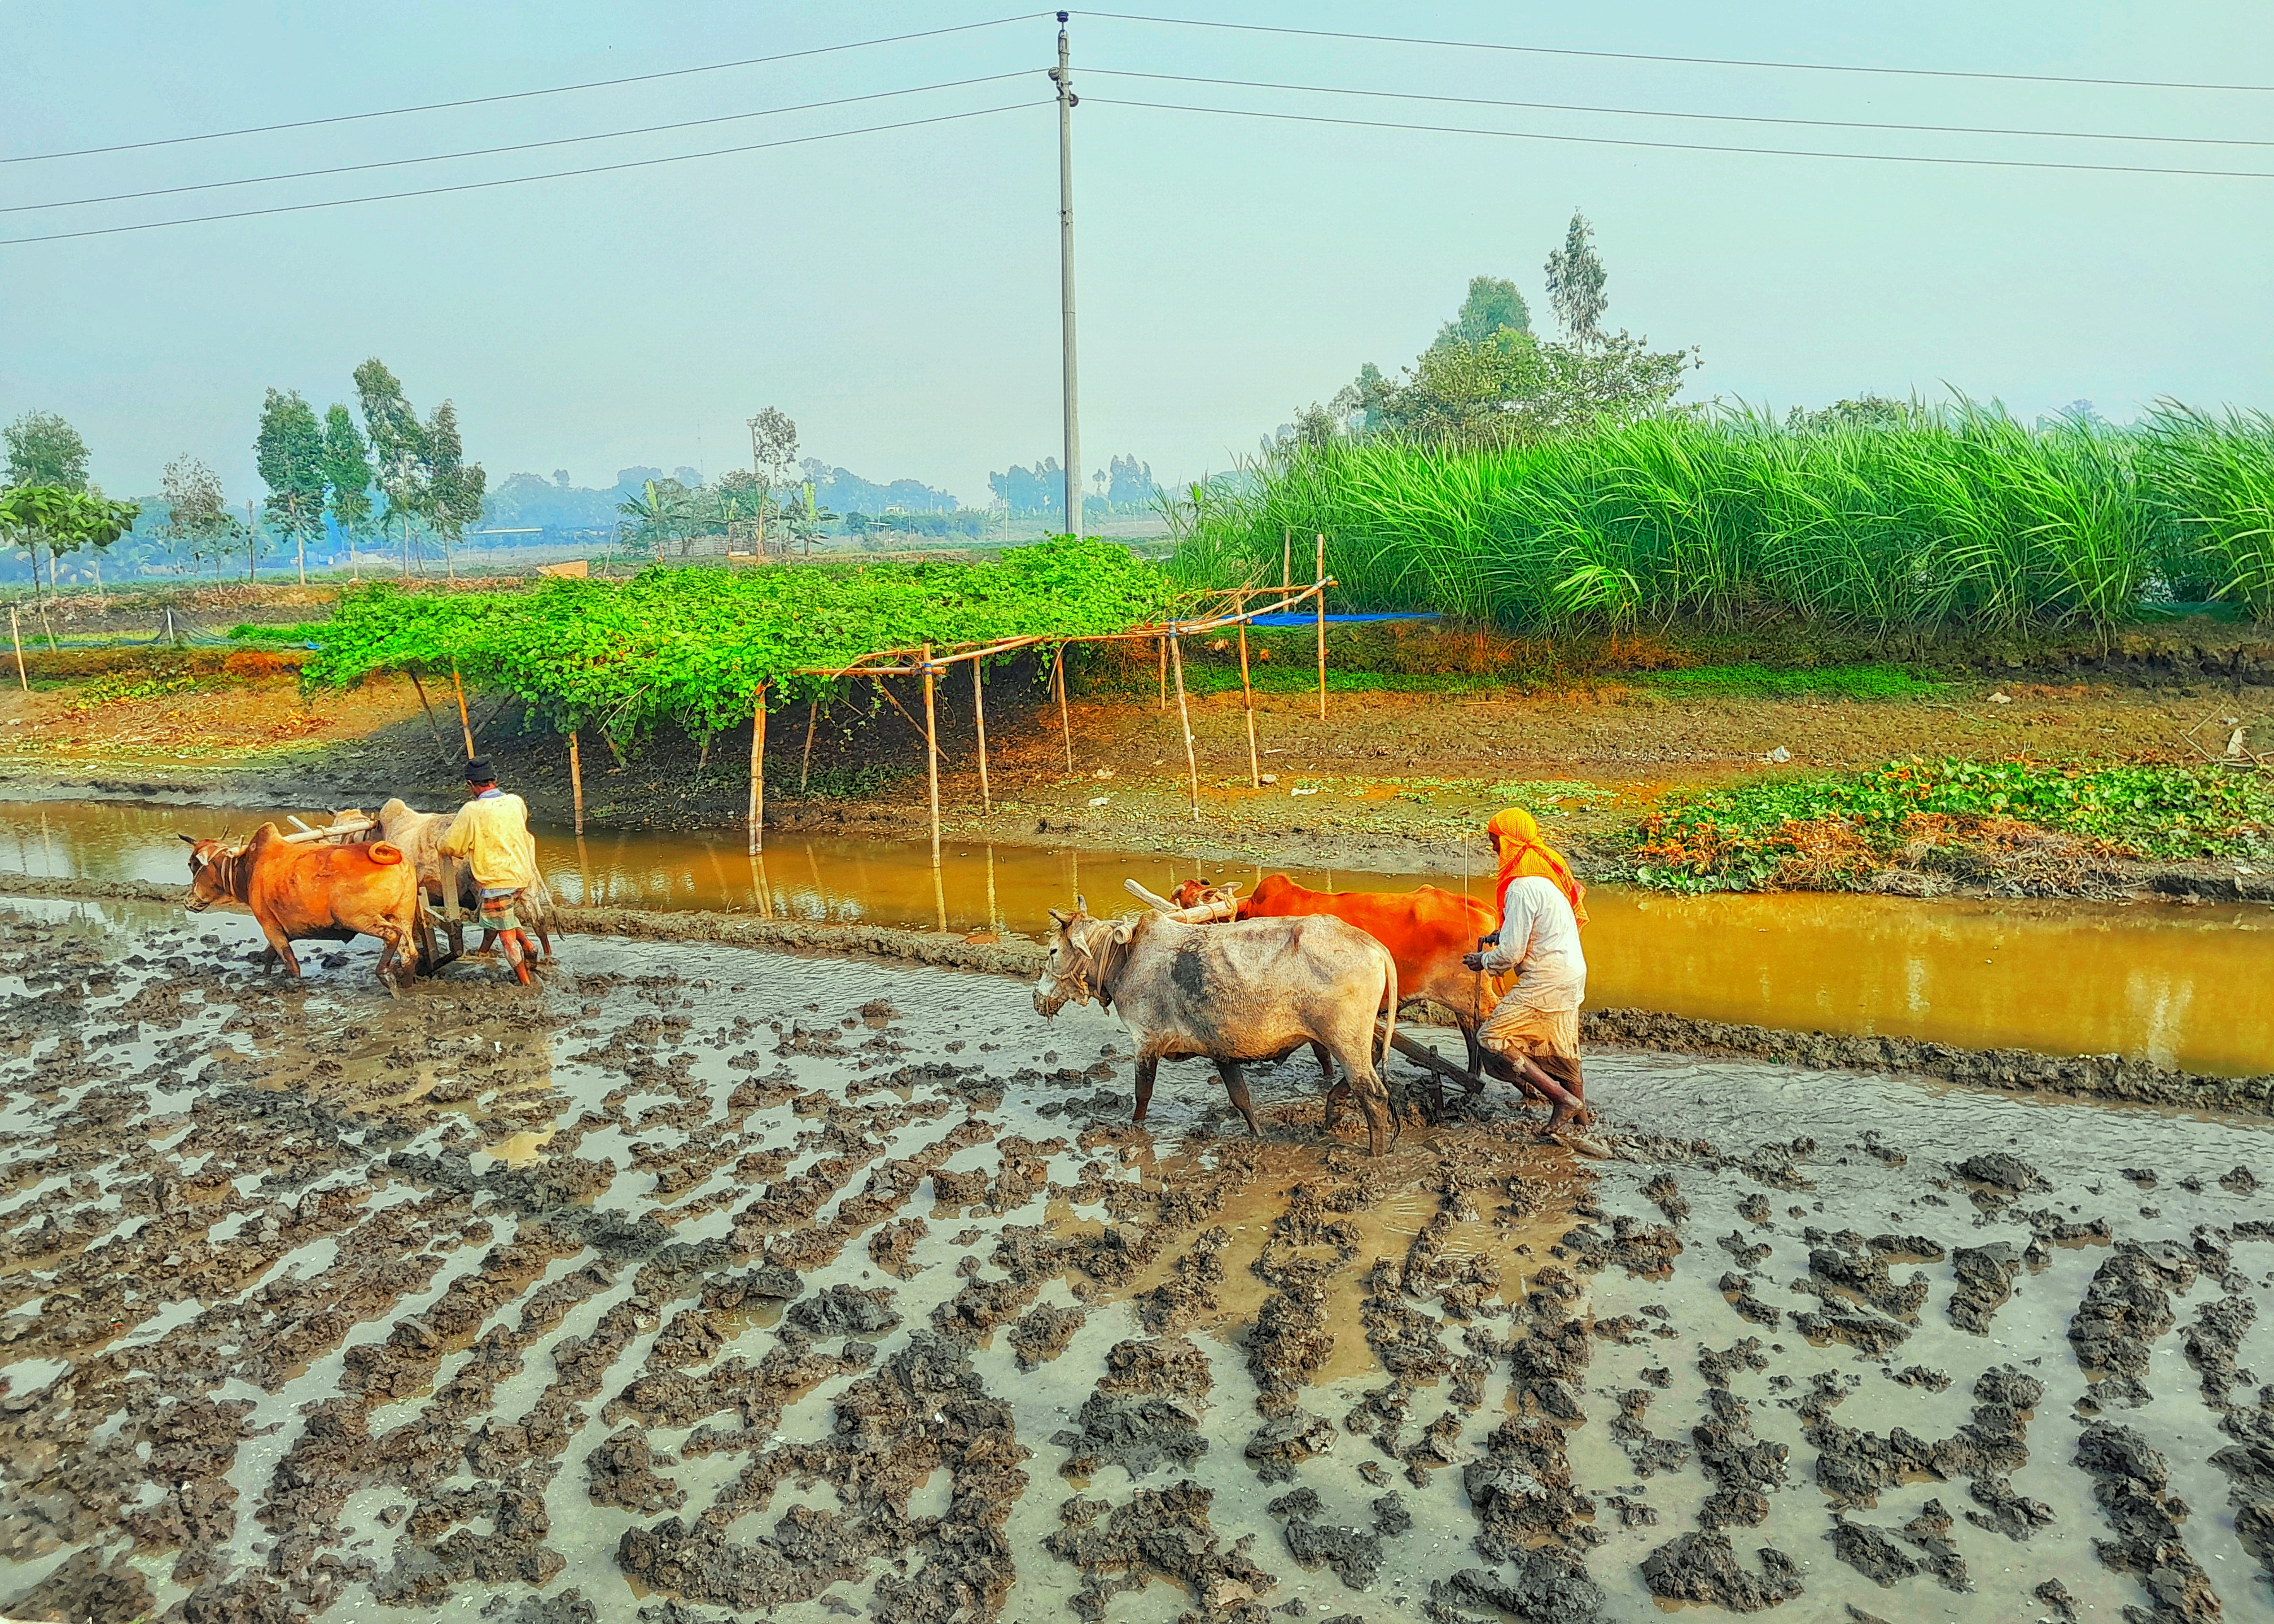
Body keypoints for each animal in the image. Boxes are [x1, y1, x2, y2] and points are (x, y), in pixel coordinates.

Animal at [186, 823, 427, 987]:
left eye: (192, 864)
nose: (189, 900)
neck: (248, 867)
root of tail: (393, 856)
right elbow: (270, 955)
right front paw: (264, 976)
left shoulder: (269, 925)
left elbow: (290, 963)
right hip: (403, 917)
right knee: (410, 954)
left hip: (359, 919)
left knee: (392, 936)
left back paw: (383, 974)